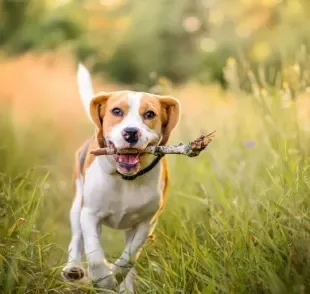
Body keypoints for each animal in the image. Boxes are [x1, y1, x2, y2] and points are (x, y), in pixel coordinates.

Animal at [61, 63, 180, 292]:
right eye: (116, 111)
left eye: (150, 114)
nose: (131, 132)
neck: (125, 180)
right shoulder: (90, 214)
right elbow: (94, 251)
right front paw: (103, 278)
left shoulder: (146, 223)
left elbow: (129, 257)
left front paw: (114, 275)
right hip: (77, 205)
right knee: (77, 237)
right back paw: (73, 268)